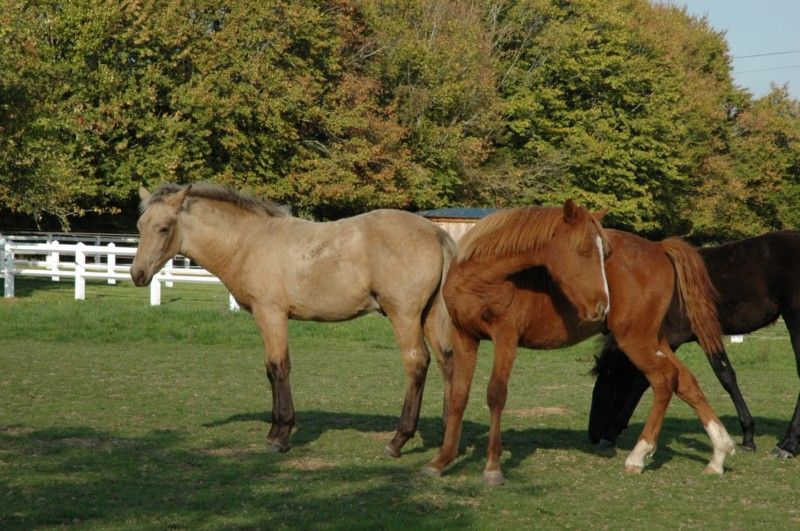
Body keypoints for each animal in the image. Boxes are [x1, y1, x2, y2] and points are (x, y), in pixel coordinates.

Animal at [130, 182, 457, 457]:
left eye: (164, 228)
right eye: (140, 226)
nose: (137, 274)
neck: (248, 241)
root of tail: (436, 233)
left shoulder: (270, 313)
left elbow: (279, 367)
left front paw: (280, 435)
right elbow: (270, 368)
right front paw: (275, 429)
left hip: (404, 316)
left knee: (417, 363)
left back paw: (398, 440)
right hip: (428, 316)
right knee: (446, 360)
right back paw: (447, 432)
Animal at [422, 219, 735, 485]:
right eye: (584, 251)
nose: (600, 299)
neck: (482, 277)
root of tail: (658, 247)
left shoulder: (505, 338)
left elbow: (496, 394)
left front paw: (492, 468)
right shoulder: (464, 337)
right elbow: (458, 395)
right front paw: (441, 461)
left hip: (636, 340)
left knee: (663, 380)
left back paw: (639, 455)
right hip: (653, 340)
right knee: (685, 380)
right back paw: (718, 453)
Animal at [589, 230, 800, 459]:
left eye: (604, 387)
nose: (593, 436)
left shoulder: (670, 338)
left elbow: (642, 381)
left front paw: (611, 433)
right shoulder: (703, 335)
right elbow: (726, 375)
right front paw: (748, 436)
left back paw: (788, 445)